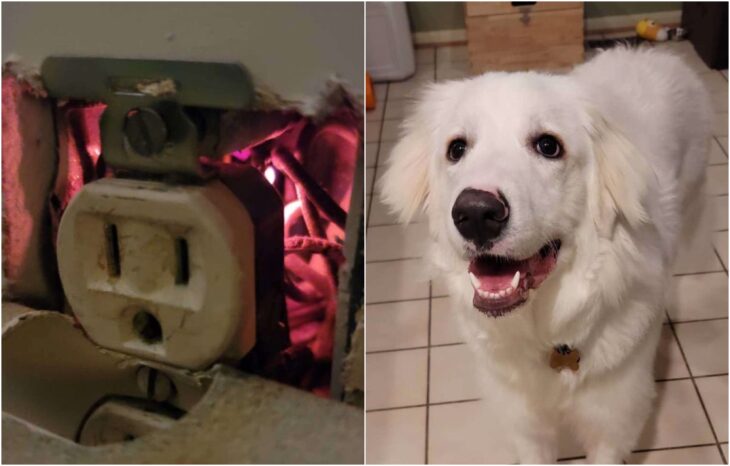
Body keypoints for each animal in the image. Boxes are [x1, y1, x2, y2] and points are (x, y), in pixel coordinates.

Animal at [382, 47, 712, 462]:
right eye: (456, 149)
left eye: (548, 146)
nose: (475, 214)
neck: (546, 332)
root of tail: (657, 52)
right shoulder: (526, 426)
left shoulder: (612, 424)